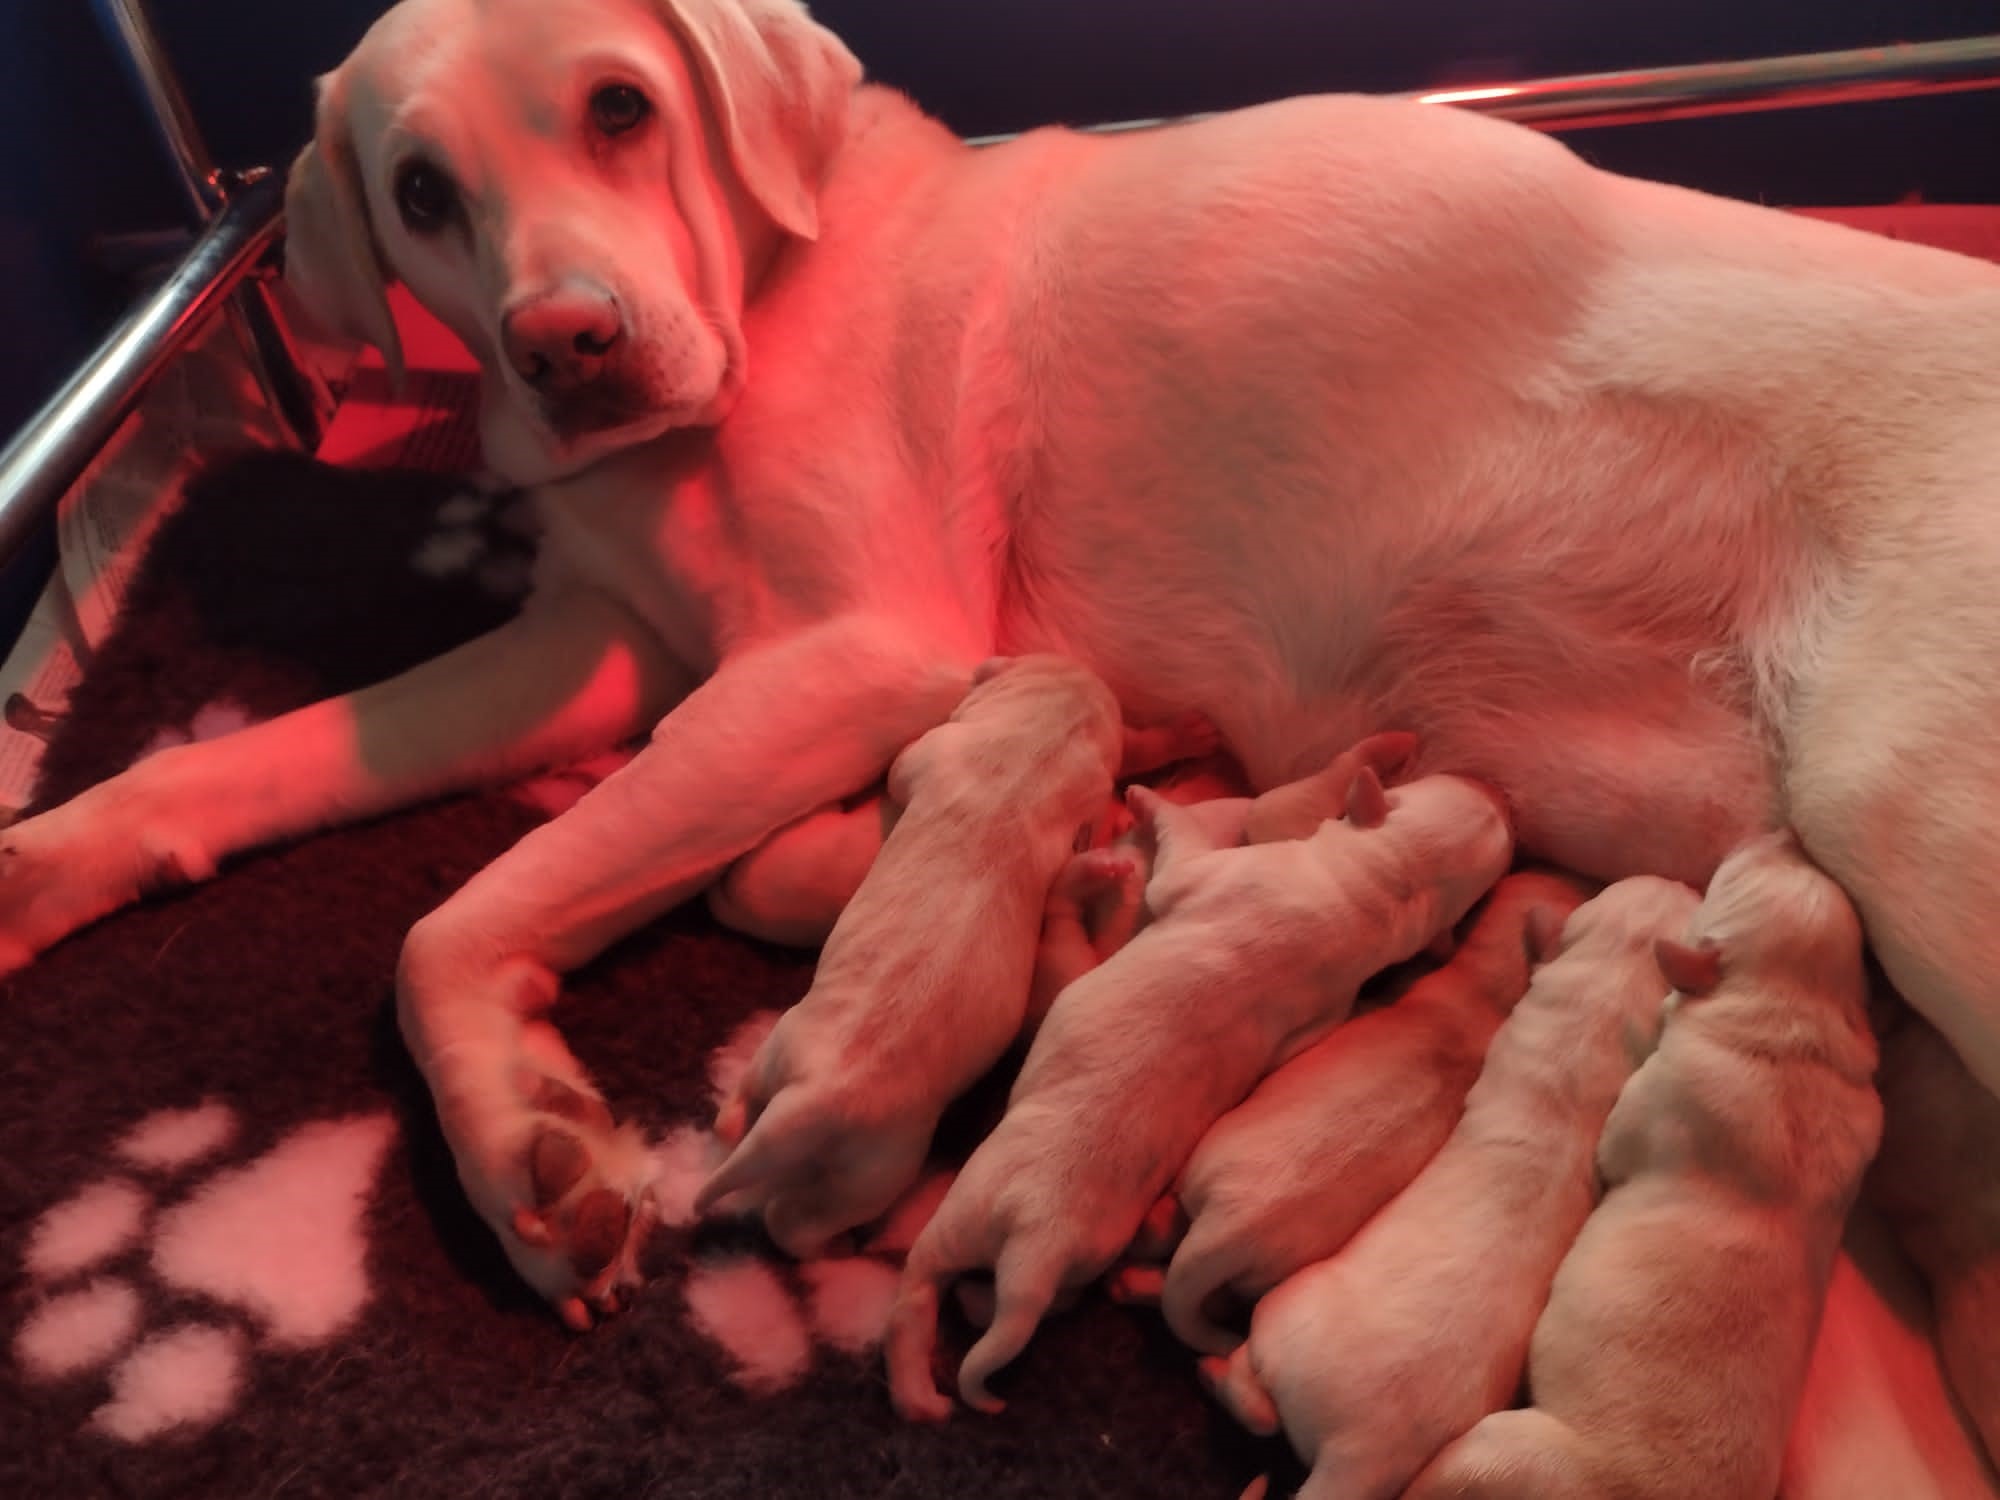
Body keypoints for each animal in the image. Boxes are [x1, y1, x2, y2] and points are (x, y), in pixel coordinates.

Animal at [3, 0, 2000, 1322]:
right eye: (422, 189)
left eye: (622, 108)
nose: (566, 346)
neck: (770, 289)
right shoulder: (605, 645)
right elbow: (235, 762)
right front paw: (52, 859)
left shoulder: (855, 655)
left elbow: (449, 920)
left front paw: (523, 1140)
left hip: (1915, 834)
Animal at [885, 763, 1514, 1419]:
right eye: (1477, 806)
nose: (1501, 791)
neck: (1379, 893)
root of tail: (1035, 1245)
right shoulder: (1328, 1004)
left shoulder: (1217, 873)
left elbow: (1177, 850)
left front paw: (1146, 801)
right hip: (1082, 1257)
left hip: (968, 1209)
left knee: (921, 1284)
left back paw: (917, 1384)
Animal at [1200, 876, 1695, 1500]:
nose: (1677, 880)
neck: (1597, 1007)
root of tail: (1358, 1451)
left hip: (1283, 1311)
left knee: (1248, 1388)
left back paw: (1213, 1370)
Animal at [1407, 831, 1881, 1500]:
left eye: (1729, 878)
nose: (1784, 832)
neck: (1796, 1022)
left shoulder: (1650, 1101)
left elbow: (1614, 1149)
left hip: (1505, 1450)